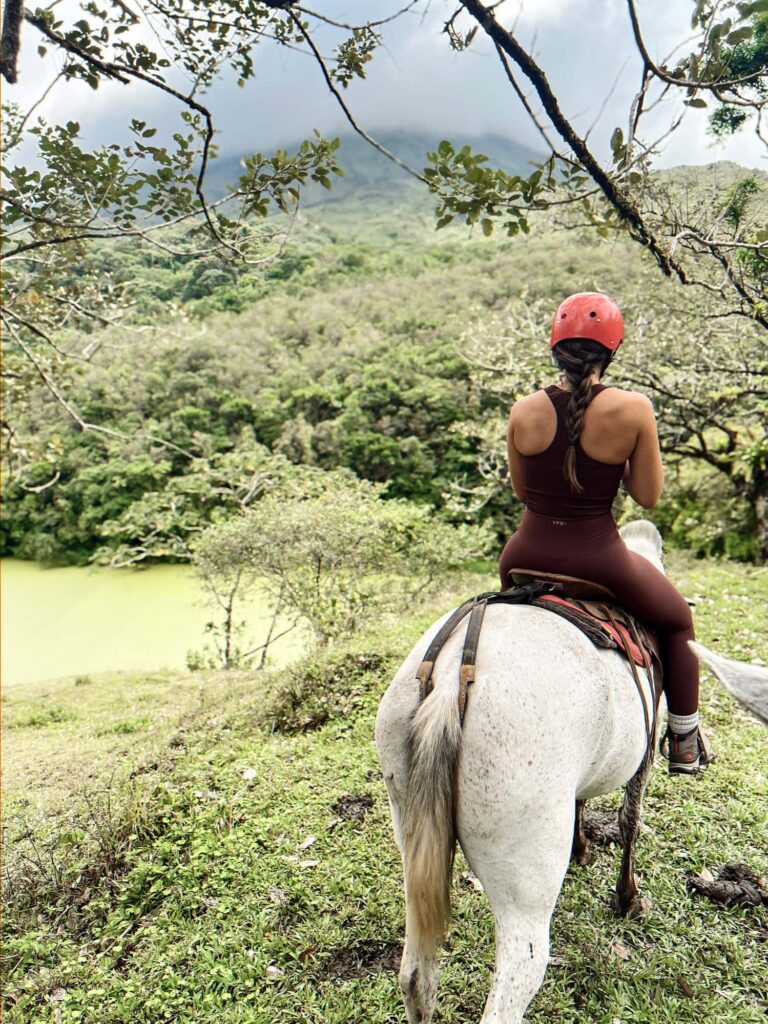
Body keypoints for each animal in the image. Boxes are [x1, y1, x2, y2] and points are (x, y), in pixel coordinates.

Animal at [376, 524, 692, 1019]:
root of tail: (450, 681)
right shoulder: (643, 756)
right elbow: (630, 822)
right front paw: (626, 897)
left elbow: (583, 801)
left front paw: (581, 848)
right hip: (524, 891)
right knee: (512, 987)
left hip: (411, 834)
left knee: (414, 977)